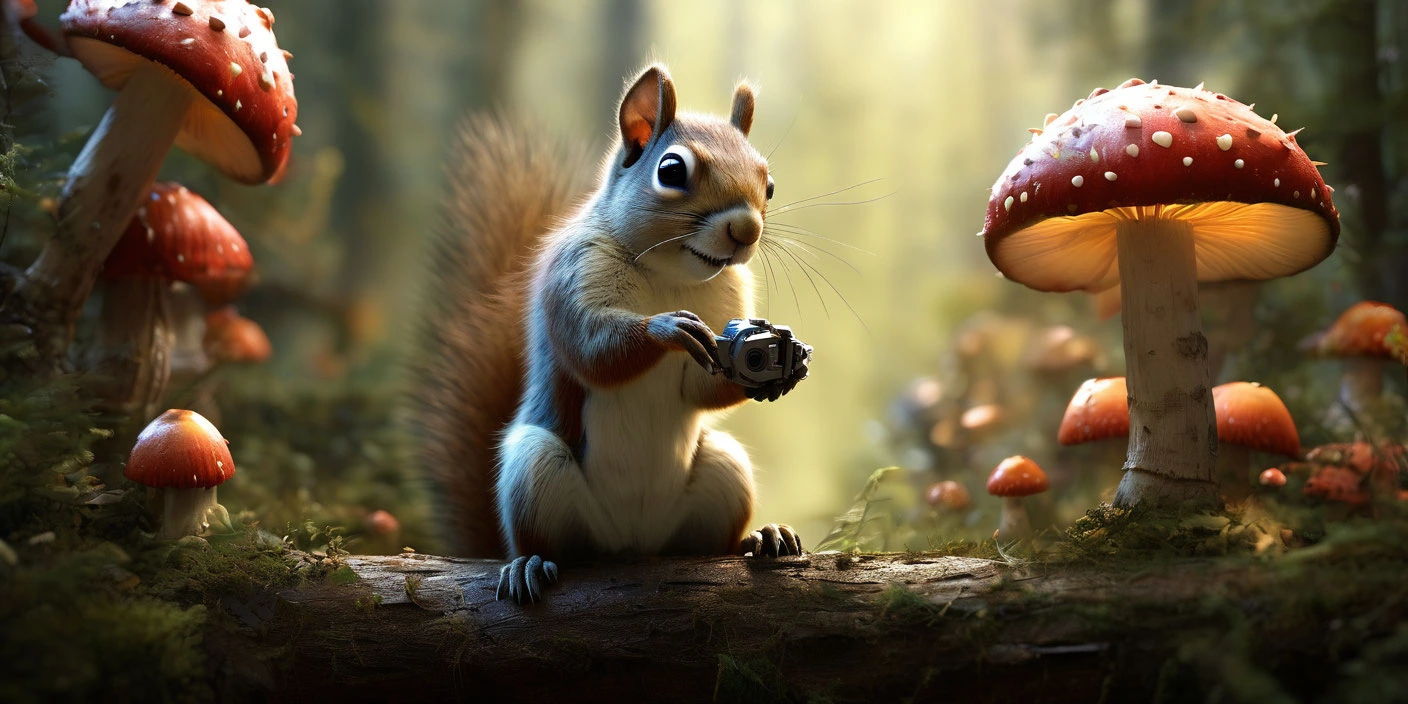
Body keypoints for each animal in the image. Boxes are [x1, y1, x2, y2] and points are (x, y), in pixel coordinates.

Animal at [411, 64, 807, 604]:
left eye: (769, 185)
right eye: (671, 171)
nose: (746, 231)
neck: (670, 275)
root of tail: (632, 542)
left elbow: (699, 388)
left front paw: (790, 364)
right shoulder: (573, 274)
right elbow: (592, 351)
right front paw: (668, 328)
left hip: (724, 472)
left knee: (708, 544)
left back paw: (762, 539)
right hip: (537, 471)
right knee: (554, 544)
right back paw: (529, 564)